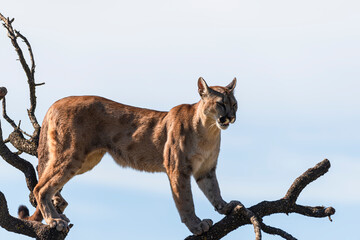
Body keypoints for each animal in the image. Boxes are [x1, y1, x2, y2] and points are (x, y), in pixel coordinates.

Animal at [19, 78, 239, 235]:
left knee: (48, 178)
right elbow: (185, 200)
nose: (230, 117)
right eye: (220, 104)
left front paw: (226, 206)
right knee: (41, 187)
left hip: (85, 160)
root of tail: (58, 101)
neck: (209, 131)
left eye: (235, 104)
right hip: (71, 155)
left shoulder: (206, 169)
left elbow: (213, 190)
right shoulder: (178, 169)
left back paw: (59, 212)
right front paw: (196, 225)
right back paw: (54, 220)